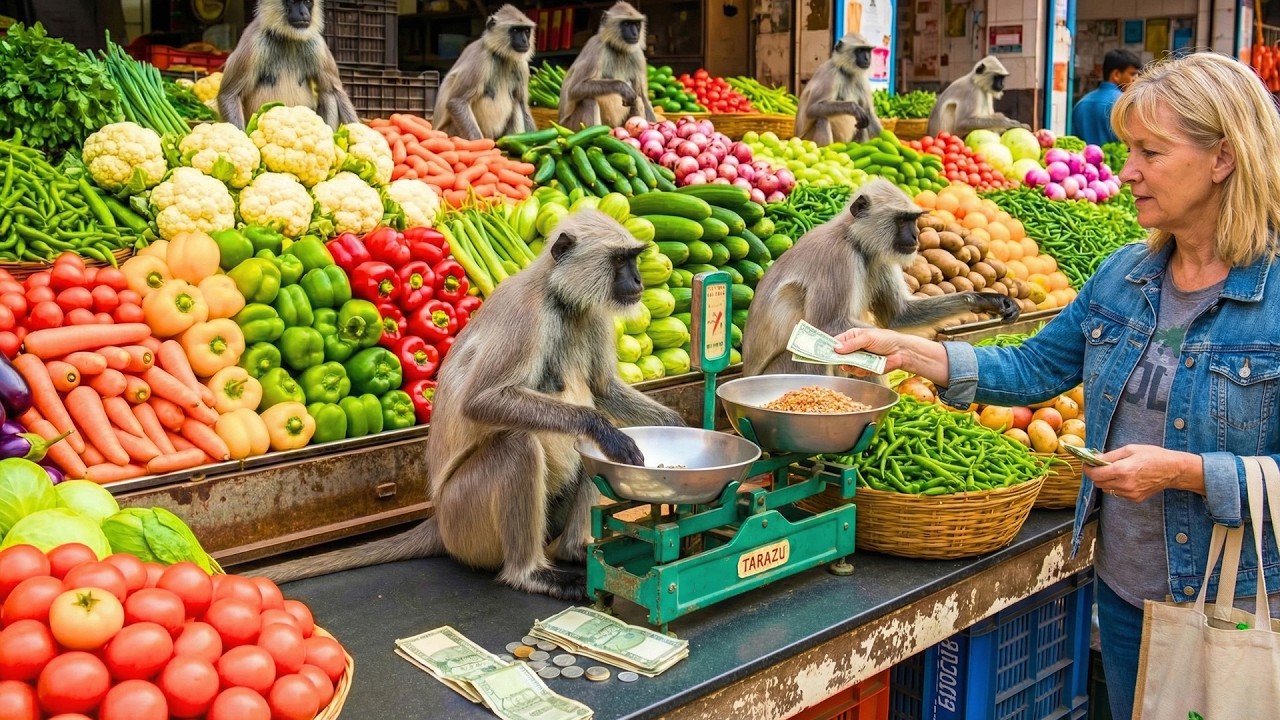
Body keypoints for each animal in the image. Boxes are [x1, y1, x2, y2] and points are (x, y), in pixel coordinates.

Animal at [217, 0, 358, 130]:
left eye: (307, 2)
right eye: (291, 1)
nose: (303, 13)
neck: (288, 38)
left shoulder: (317, 44)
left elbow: (337, 91)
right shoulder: (253, 43)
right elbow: (229, 95)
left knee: (328, 93)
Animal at [254, 210, 685, 600]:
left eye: (633, 259)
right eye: (620, 261)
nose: (638, 281)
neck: (560, 301)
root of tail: (439, 521)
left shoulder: (592, 313)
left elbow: (603, 388)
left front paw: (678, 427)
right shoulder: (525, 315)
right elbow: (482, 403)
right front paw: (605, 429)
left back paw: (575, 550)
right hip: (465, 518)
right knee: (519, 445)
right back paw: (531, 574)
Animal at [431, 5, 537, 140]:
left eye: (526, 31)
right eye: (515, 30)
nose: (524, 40)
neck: (501, 56)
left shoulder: (522, 65)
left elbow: (523, 106)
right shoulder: (480, 58)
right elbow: (457, 102)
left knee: (517, 103)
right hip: (451, 132)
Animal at [558, 1, 656, 130]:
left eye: (636, 24)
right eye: (626, 23)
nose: (635, 33)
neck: (618, 49)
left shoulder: (638, 54)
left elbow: (642, 97)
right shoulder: (597, 46)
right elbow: (575, 89)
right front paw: (623, 87)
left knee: (638, 100)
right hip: (570, 125)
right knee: (588, 101)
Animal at [741, 179, 1021, 378]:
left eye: (914, 220)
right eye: (902, 220)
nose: (916, 236)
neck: (854, 240)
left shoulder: (879, 258)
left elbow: (899, 316)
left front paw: (988, 300)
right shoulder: (838, 257)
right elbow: (826, 324)